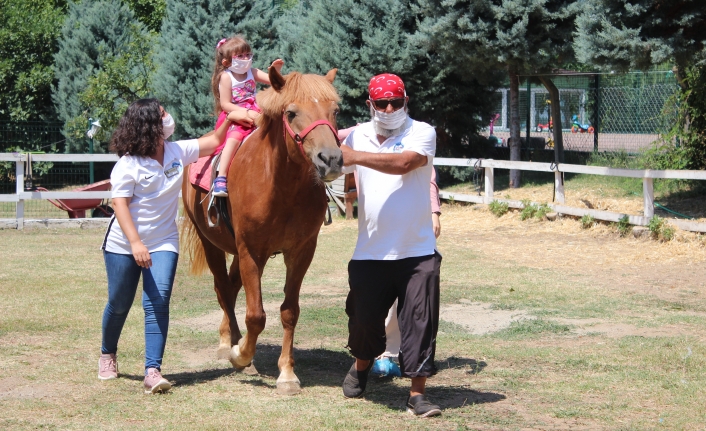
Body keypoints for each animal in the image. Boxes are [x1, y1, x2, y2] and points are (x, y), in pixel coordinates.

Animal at [180, 66, 342, 394]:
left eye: (335, 111)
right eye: (291, 112)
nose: (330, 159)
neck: (280, 184)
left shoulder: (301, 252)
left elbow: (289, 311)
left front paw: (287, 374)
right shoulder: (250, 252)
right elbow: (255, 315)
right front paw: (240, 355)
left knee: (230, 288)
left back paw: (231, 338)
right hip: (212, 244)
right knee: (223, 291)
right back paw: (231, 345)